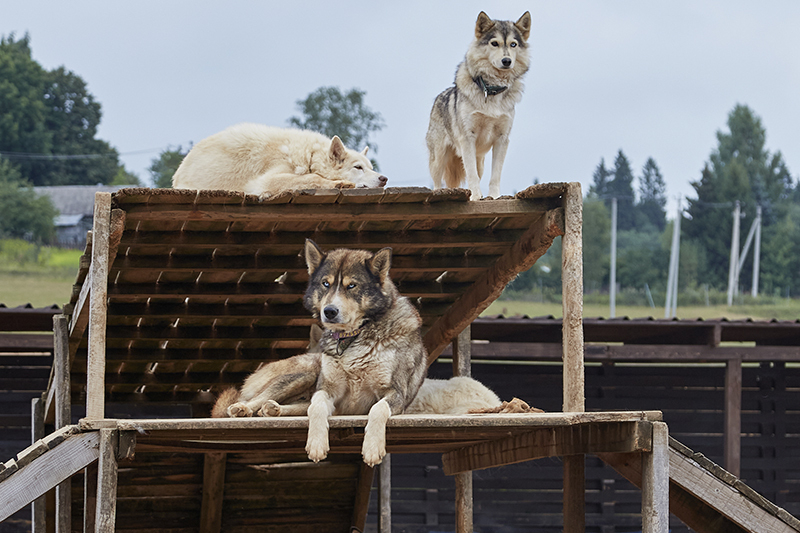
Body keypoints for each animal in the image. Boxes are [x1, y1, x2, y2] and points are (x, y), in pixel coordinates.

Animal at [424, 11, 532, 200]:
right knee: (437, 183)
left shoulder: (502, 139)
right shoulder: (467, 138)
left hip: (479, 159)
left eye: (513, 44)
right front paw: (475, 197)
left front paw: (494, 197)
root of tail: (438, 97)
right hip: (439, 158)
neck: (491, 90)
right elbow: (471, 175)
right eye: (494, 43)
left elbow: (495, 175)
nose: (506, 61)